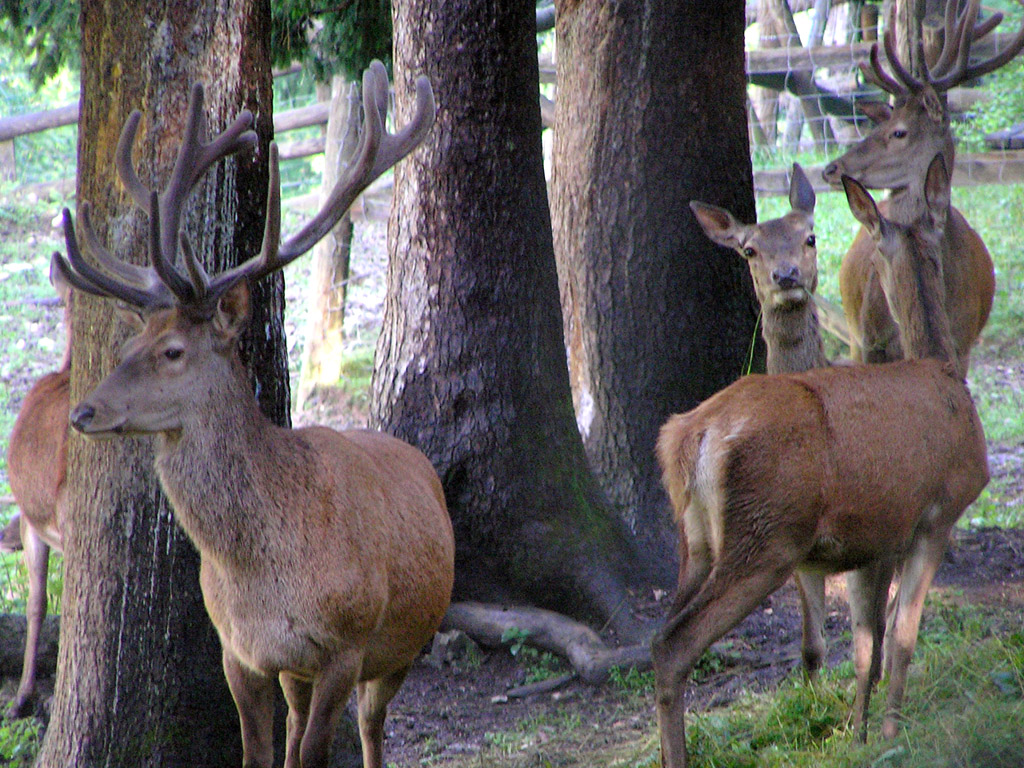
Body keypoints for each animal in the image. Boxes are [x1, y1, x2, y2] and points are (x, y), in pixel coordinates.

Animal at [55, 61, 452, 768]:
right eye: (127, 346)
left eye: (173, 351)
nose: (85, 410)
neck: (262, 574)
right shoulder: (240, 651)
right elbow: (260, 753)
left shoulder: (346, 644)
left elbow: (314, 754)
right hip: (299, 669)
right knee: (299, 726)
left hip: (404, 640)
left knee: (373, 727)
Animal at [651, 157, 987, 768]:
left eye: (811, 238)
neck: (944, 371)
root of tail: (696, 436)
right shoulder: (937, 512)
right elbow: (901, 637)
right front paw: (889, 733)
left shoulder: (873, 537)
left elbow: (866, 640)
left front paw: (860, 729)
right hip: (766, 534)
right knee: (672, 644)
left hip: (696, 543)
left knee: (661, 632)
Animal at [823, 0, 1024, 376]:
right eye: (881, 122)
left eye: (899, 131)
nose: (832, 168)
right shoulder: (868, 342)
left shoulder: (962, 345)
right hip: (854, 331)